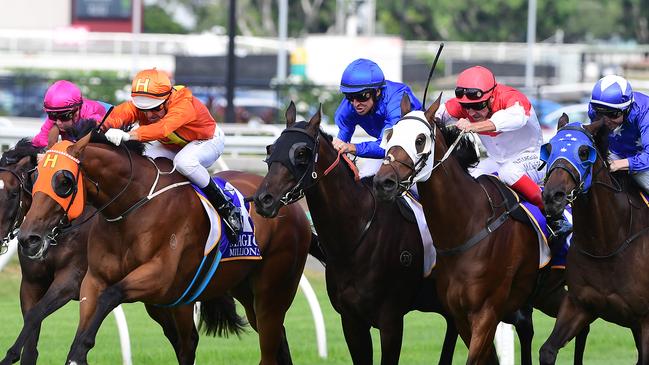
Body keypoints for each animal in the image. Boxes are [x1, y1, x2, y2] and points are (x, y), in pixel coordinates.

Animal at [0, 139, 91, 364]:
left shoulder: (70, 281)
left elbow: (36, 313)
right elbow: (31, 340)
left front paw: (9, 355)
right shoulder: (32, 283)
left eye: (13, 193)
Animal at [17, 131, 312, 364]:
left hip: (273, 290)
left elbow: (111, 295)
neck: (132, 206)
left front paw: (80, 352)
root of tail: (289, 205)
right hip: (238, 291)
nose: (28, 238)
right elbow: (87, 310)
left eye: (64, 181)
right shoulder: (94, 279)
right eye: (35, 177)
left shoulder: (159, 276)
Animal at [251, 103, 458, 364]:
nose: (263, 200)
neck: (356, 236)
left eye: (301, 153)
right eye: (272, 148)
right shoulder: (351, 321)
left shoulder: (391, 321)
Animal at [370, 95, 588, 362]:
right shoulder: (459, 315)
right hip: (548, 293)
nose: (384, 183)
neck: (467, 226)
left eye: (420, 140)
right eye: (390, 135)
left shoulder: (487, 312)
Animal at [536, 115, 648, 362]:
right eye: (549, 148)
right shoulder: (579, 305)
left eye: (584, 152)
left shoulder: (646, 321)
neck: (606, 245)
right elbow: (547, 349)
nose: (552, 196)